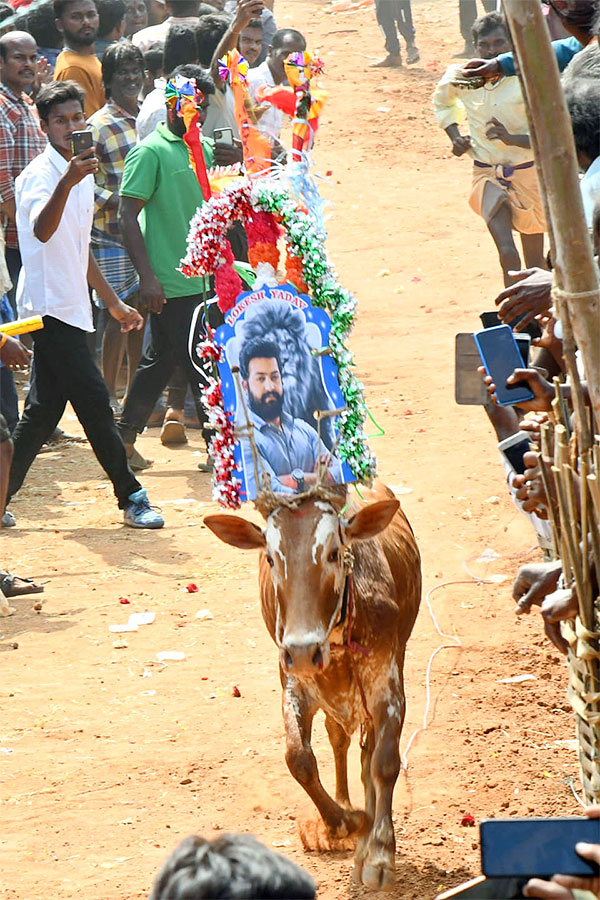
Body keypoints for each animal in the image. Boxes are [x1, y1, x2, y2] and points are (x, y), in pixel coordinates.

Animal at [206, 482, 422, 888]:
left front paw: (379, 851)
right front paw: (346, 821)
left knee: (366, 755)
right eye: (271, 559)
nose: (304, 649)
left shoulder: (385, 684)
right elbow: (299, 759)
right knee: (338, 741)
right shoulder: (295, 683)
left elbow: (383, 762)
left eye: (334, 553)